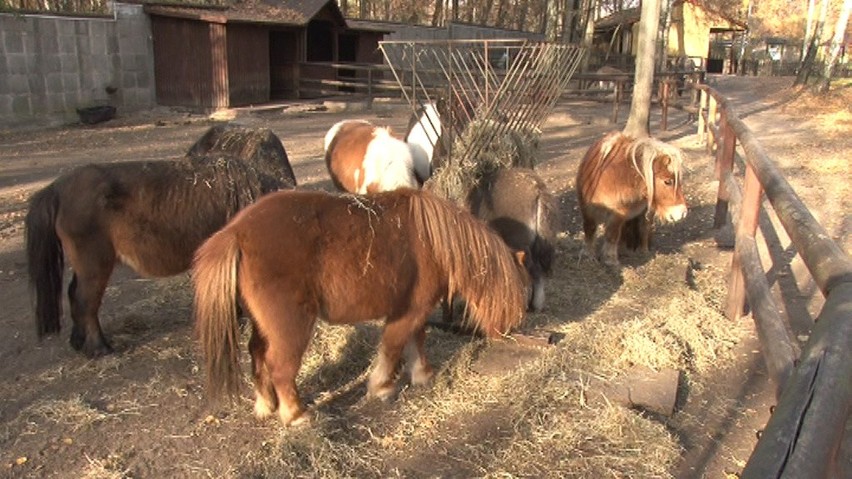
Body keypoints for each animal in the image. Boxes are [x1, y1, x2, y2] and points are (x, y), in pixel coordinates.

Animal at [25, 125, 296, 358]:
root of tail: (56, 188)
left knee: (74, 294)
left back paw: (78, 342)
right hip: (95, 265)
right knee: (85, 300)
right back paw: (100, 348)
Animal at [194, 189, 528, 426]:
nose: (510, 328)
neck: (435, 242)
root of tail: (235, 232)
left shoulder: (414, 310)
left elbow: (415, 341)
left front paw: (422, 374)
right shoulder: (408, 311)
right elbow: (393, 346)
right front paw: (381, 387)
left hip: (263, 326)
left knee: (257, 355)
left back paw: (266, 405)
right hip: (290, 327)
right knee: (279, 366)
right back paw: (296, 415)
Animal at [576, 131, 688, 266]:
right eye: (668, 181)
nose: (682, 213)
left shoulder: (617, 214)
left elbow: (612, 235)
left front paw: (610, 260)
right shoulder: (587, 210)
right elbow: (589, 230)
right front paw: (587, 255)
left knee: (643, 228)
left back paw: (642, 251)